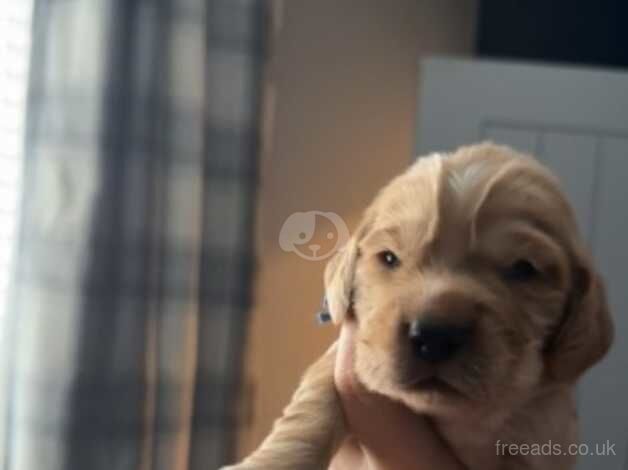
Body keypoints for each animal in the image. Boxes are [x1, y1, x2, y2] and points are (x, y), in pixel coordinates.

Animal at [224, 143, 612, 470]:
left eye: (523, 269)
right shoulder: (344, 359)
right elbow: (314, 404)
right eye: (389, 258)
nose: (434, 337)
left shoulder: (548, 433)